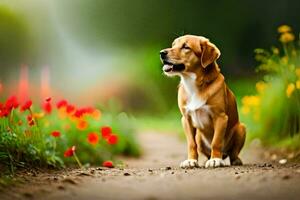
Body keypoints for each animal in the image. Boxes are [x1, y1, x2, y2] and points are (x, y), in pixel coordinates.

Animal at [159, 35, 246, 168]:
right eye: (173, 45)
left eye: (186, 47)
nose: (162, 53)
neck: (193, 85)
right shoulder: (186, 119)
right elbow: (191, 144)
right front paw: (191, 161)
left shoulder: (220, 117)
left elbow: (216, 142)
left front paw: (215, 159)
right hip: (199, 136)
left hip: (241, 129)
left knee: (233, 153)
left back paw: (233, 160)